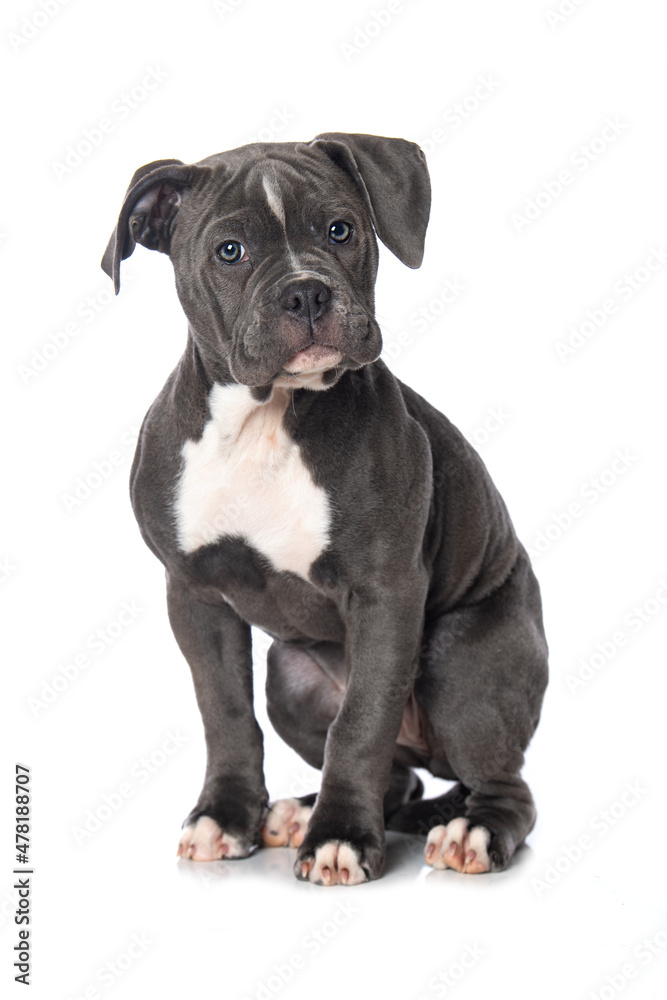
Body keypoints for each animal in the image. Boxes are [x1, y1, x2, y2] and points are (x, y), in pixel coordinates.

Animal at [100, 131, 548, 884]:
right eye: (230, 251)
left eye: (340, 230)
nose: (306, 290)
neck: (264, 420)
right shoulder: (193, 594)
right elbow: (224, 711)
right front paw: (226, 816)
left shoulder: (385, 594)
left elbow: (361, 723)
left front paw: (341, 837)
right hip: (292, 679)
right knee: (399, 778)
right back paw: (297, 811)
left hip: (467, 666)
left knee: (500, 785)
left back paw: (471, 832)